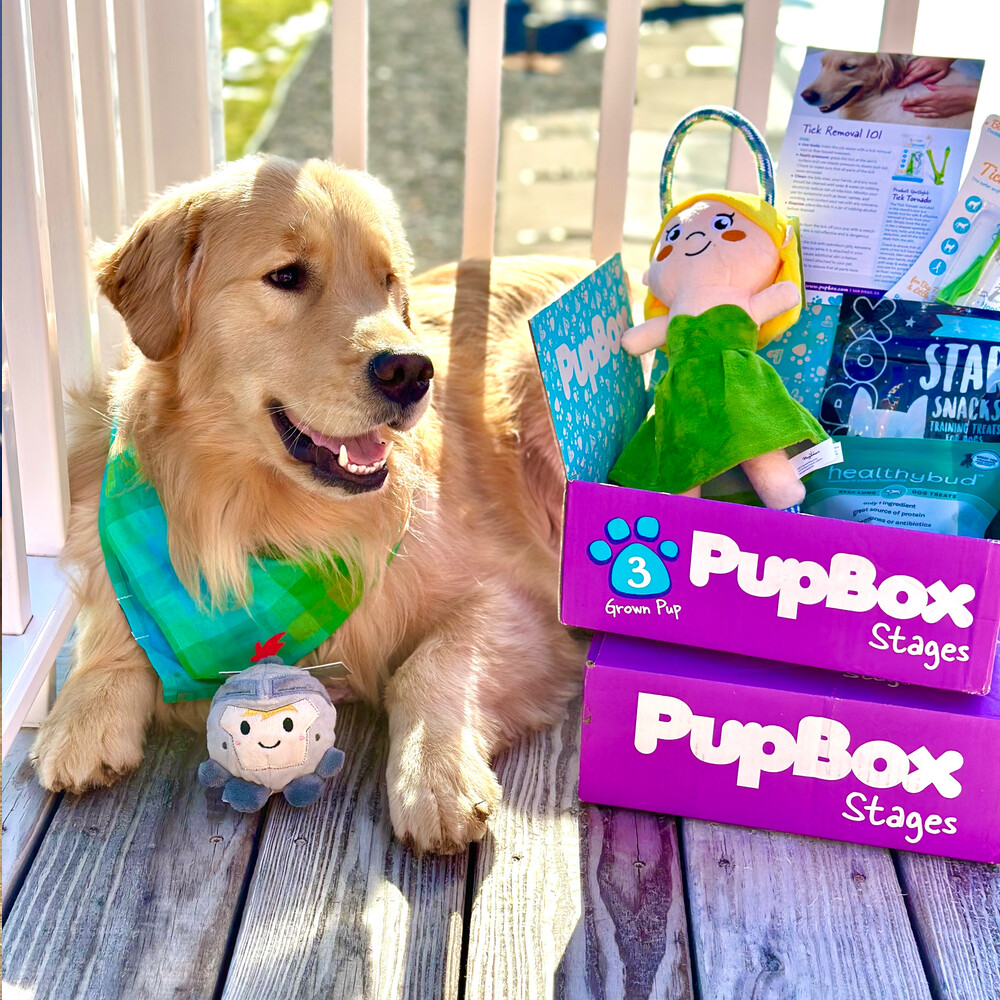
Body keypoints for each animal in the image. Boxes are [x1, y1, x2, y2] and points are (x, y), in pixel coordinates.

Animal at [31, 156, 589, 854]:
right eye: (287, 276)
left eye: (388, 281)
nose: (413, 372)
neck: (268, 521)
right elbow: (113, 622)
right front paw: (84, 713)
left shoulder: (521, 597)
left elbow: (431, 665)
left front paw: (435, 777)